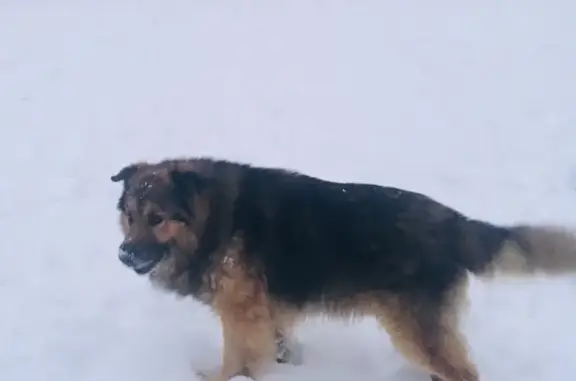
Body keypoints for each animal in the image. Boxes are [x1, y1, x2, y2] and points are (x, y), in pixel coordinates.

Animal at [110, 157, 576, 380]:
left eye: (157, 218)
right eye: (130, 216)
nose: (124, 255)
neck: (215, 219)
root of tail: (451, 220)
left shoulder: (240, 314)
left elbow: (234, 359)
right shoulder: (266, 312)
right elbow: (273, 346)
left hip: (414, 331)